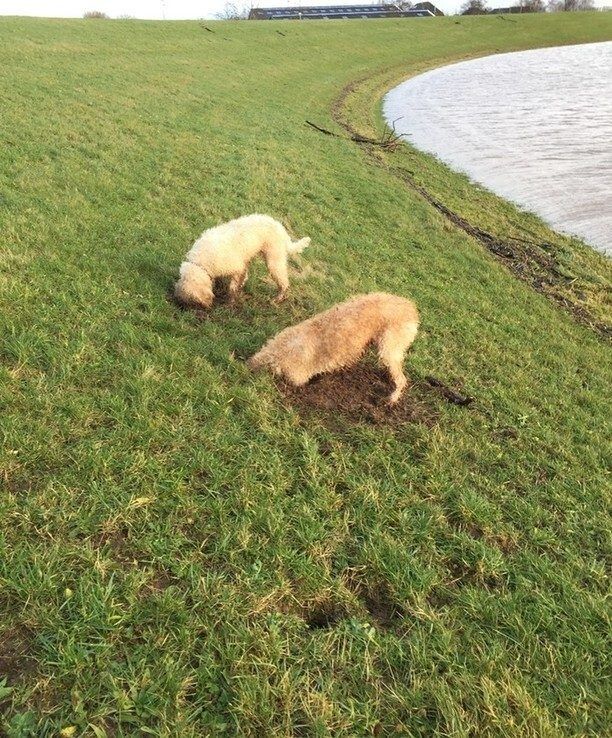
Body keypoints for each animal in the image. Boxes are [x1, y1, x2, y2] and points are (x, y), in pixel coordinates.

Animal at [176, 213, 310, 308]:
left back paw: (277, 299)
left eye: (193, 302)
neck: (201, 262)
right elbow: (242, 278)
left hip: (274, 261)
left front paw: (230, 303)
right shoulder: (242, 264)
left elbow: (232, 288)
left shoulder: (237, 268)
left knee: (284, 283)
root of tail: (281, 229)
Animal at [247, 290, 416, 402]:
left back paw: (392, 398)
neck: (282, 350)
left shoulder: (297, 376)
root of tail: (411, 309)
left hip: (389, 348)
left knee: (401, 379)